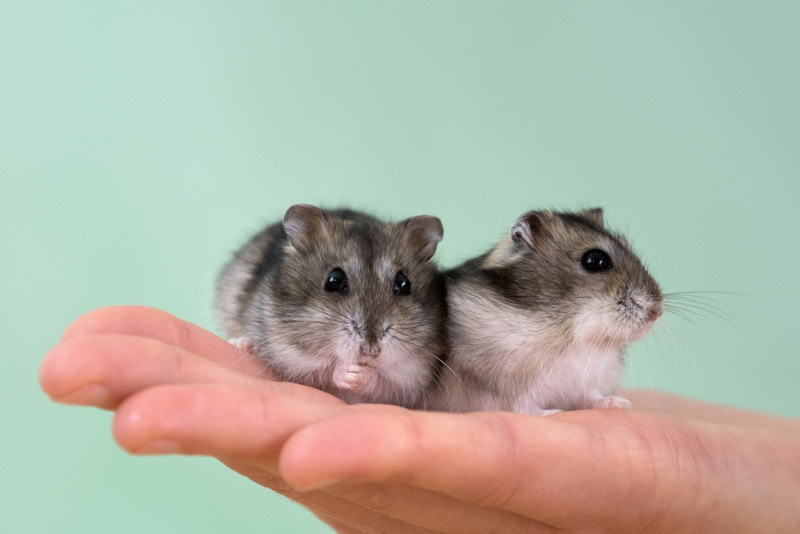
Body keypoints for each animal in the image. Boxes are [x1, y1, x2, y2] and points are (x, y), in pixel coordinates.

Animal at [214, 204, 447, 408]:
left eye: (404, 284)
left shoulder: (410, 378)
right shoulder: (291, 357)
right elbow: (324, 372)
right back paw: (243, 344)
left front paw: (360, 376)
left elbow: (381, 383)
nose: (370, 350)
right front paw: (350, 373)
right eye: (334, 280)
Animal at [427, 208, 663, 415]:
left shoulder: (584, 381)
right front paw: (551, 412)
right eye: (595, 260)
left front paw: (618, 403)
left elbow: (591, 395)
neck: (571, 331)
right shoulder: (501, 387)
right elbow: (522, 404)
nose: (657, 312)